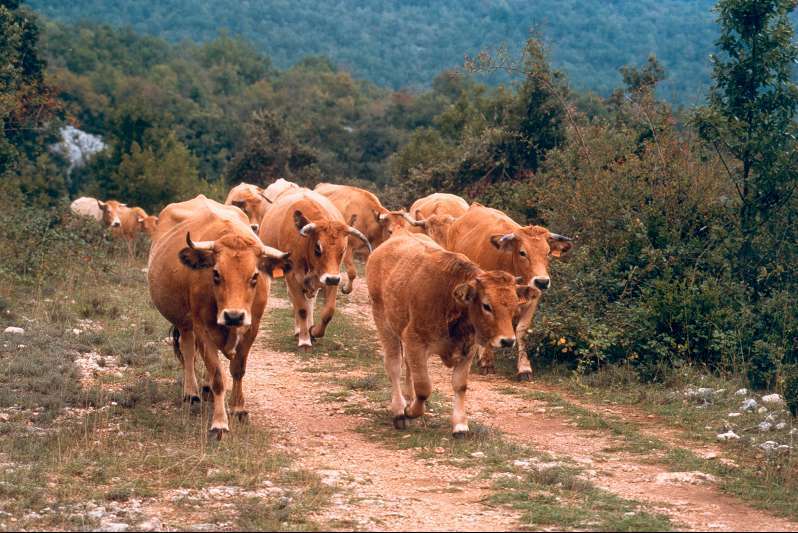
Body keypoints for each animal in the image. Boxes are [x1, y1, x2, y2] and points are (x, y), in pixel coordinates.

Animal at [148, 195, 290, 438]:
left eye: (255, 276)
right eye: (215, 273)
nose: (233, 316)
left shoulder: (252, 328)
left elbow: (238, 369)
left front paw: (238, 408)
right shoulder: (203, 329)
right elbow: (217, 377)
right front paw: (219, 423)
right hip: (186, 324)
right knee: (188, 351)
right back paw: (192, 393)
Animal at [259, 188, 370, 348]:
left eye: (342, 250)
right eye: (318, 248)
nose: (331, 279)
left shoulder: (332, 276)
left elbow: (328, 311)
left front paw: (314, 331)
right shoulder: (293, 277)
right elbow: (301, 309)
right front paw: (304, 340)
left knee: (310, 302)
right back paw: (299, 331)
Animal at [366, 232, 532, 436]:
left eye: (515, 305)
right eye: (486, 305)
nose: (508, 341)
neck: (449, 297)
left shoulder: (468, 349)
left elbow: (459, 385)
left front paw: (460, 425)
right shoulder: (415, 341)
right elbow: (424, 387)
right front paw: (410, 411)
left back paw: (408, 397)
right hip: (384, 323)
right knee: (394, 366)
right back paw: (399, 410)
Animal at [444, 203, 572, 379]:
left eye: (547, 253)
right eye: (522, 252)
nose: (542, 281)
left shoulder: (533, 298)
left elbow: (522, 331)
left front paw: (524, 368)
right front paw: (487, 361)